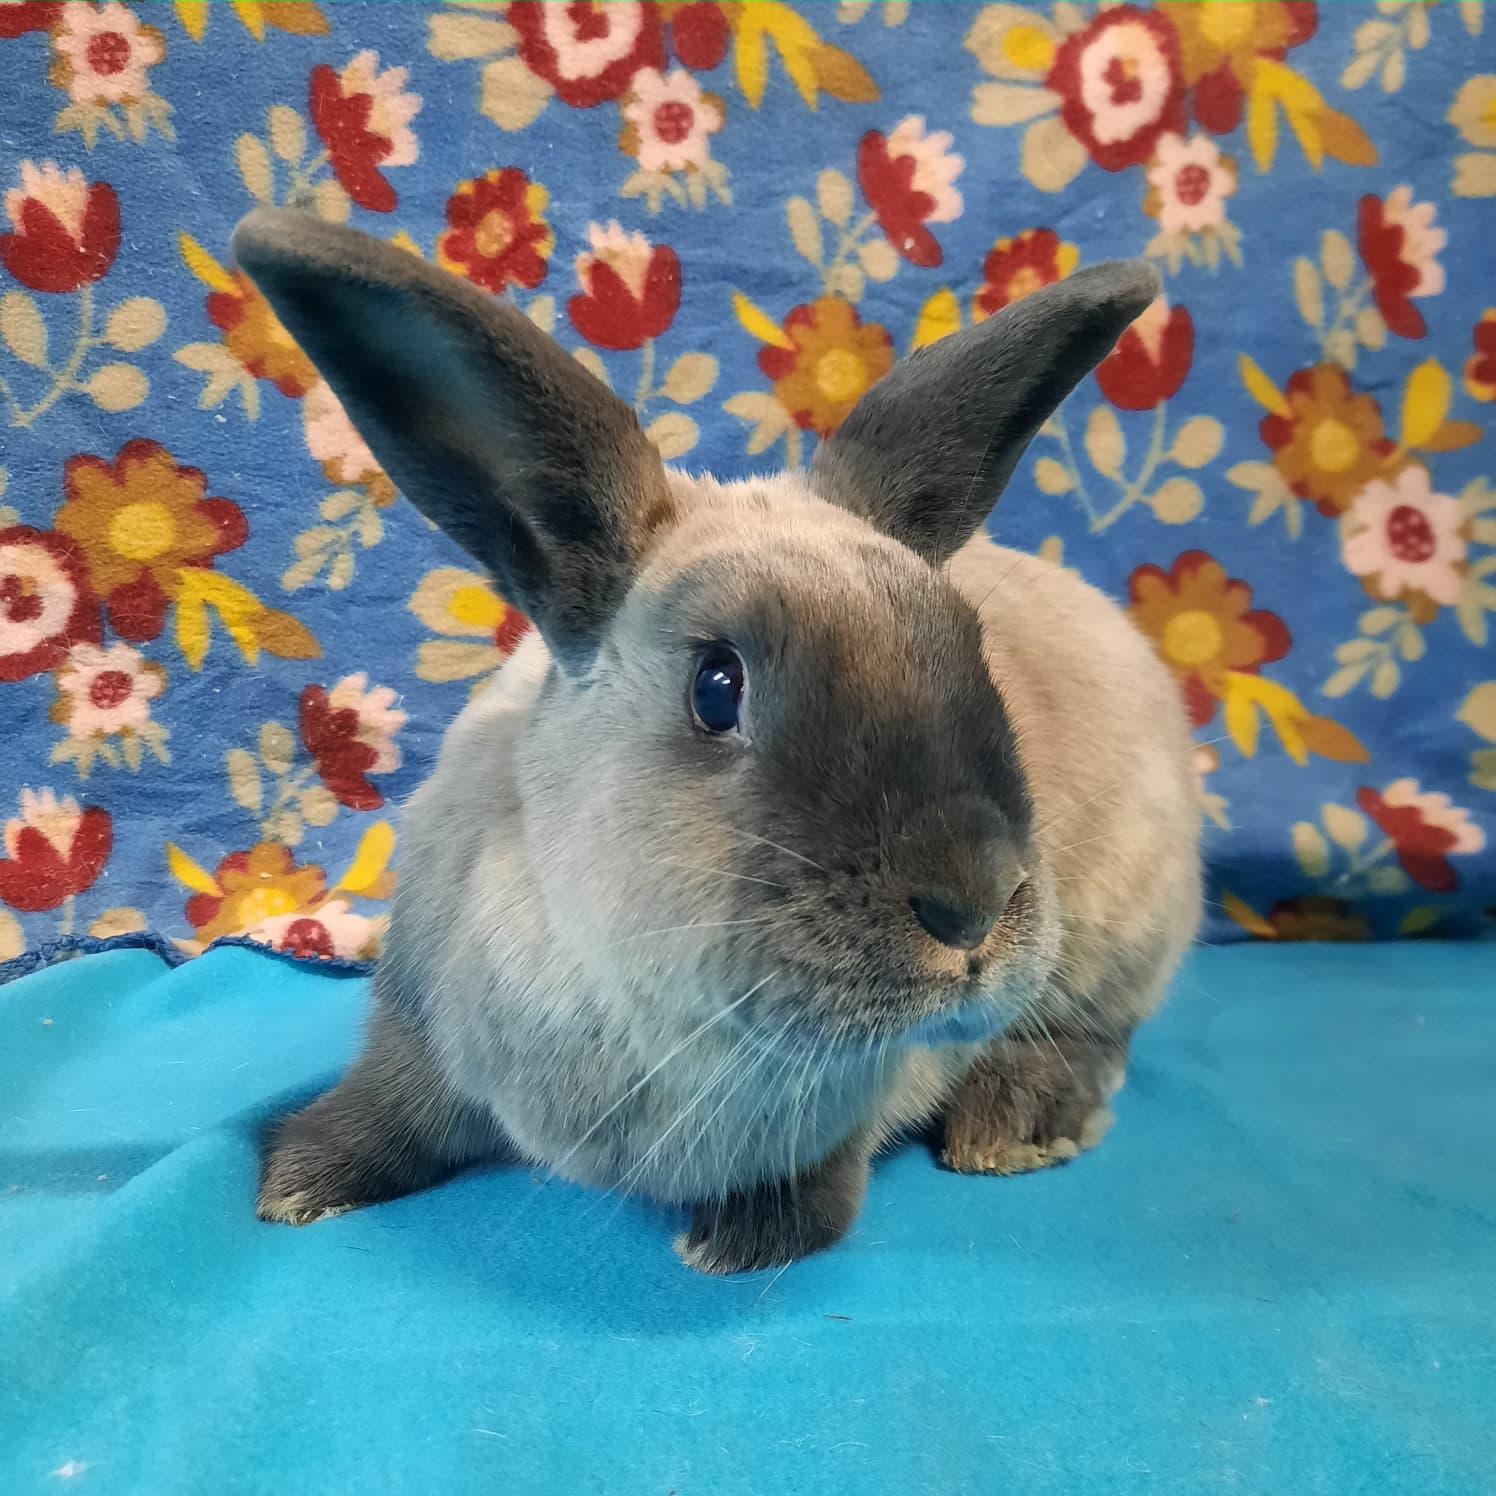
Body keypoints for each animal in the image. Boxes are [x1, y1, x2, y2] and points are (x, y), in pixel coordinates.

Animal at [234, 206, 1201, 1275]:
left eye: (969, 645)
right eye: (716, 686)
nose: (973, 909)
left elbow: (823, 1178)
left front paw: (745, 1238)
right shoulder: (420, 1035)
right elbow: (388, 1109)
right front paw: (299, 1182)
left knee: (1093, 1035)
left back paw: (1013, 1125)